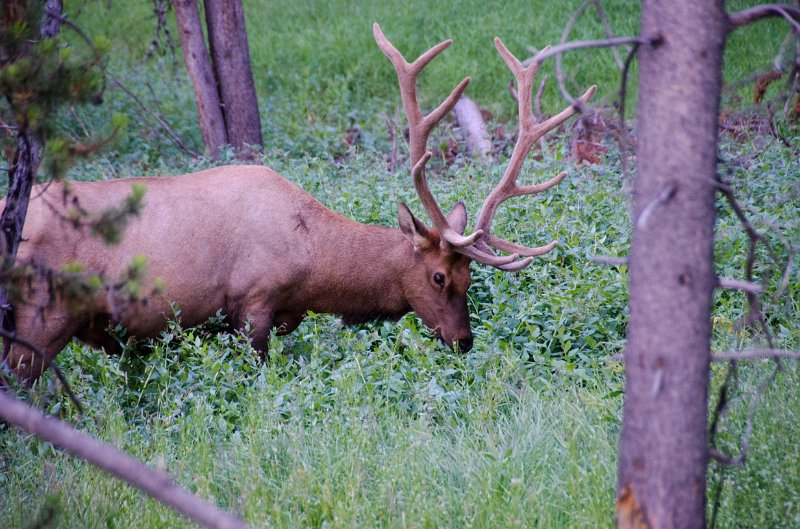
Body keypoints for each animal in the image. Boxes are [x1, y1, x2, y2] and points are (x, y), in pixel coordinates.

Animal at [3, 24, 592, 382]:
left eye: (472, 278)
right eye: (439, 277)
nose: (464, 341)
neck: (311, 272)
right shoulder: (251, 305)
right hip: (41, 317)